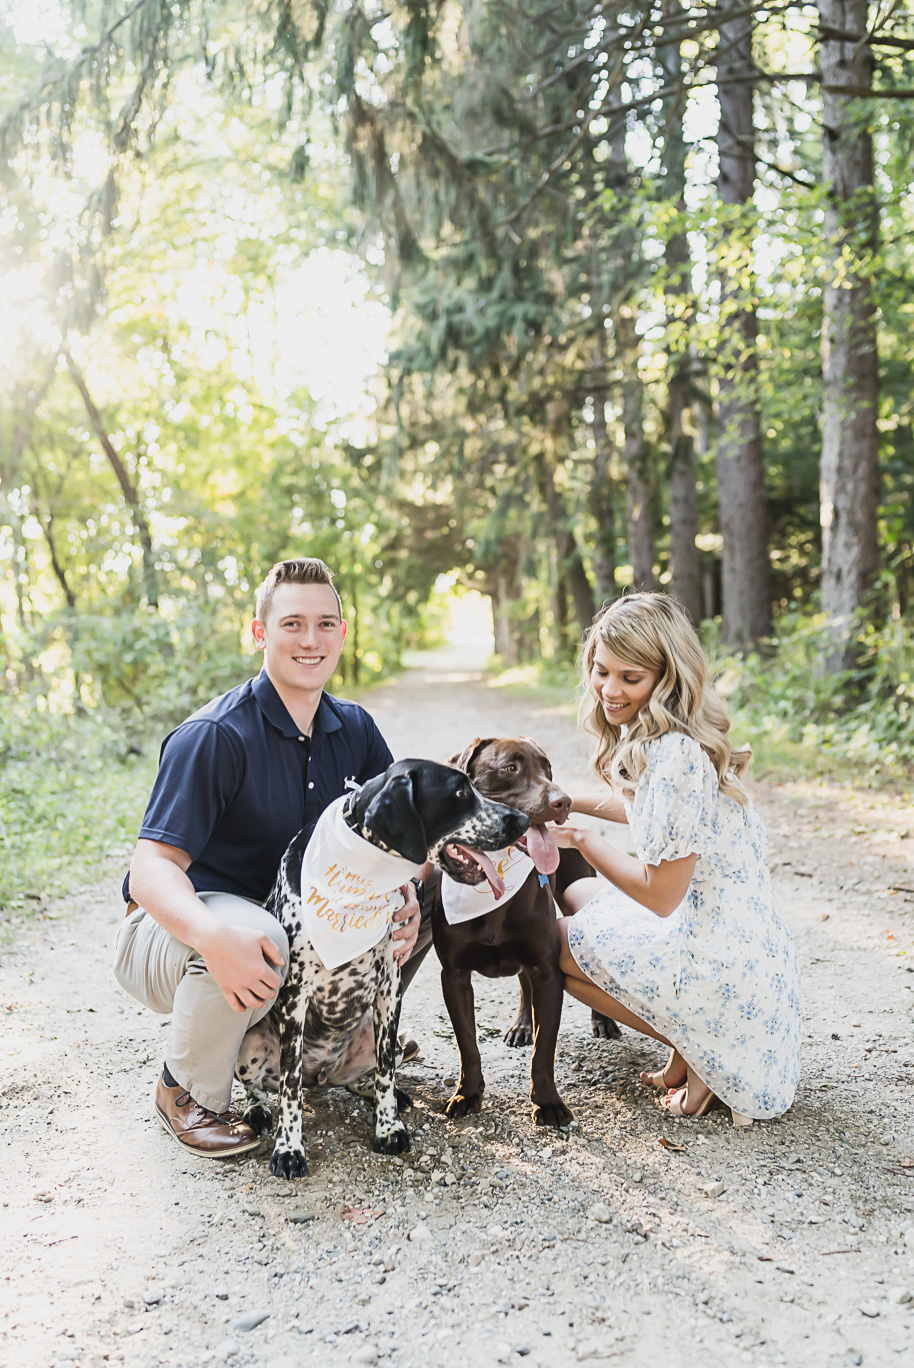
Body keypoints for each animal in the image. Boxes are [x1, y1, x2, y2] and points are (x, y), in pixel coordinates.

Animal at [242, 755, 528, 1181]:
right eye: (460, 792)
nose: (522, 820)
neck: (364, 875)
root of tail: (320, 1076)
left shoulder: (389, 987)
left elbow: (385, 1073)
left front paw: (388, 1126)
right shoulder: (295, 996)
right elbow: (290, 1089)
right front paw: (289, 1148)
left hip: (385, 1038)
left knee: (369, 1073)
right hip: (251, 1043)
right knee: (265, 1086)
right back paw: (259, 1108)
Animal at [429, 744, 571, 1127]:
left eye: (549, 769)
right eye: (510, 768)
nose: (564, 801)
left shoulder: (548, 971)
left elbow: (545, 1048)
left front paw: (547, 1102)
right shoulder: (454, 976)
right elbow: (467, 1043)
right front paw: (468, 1094)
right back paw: (522, 1025)